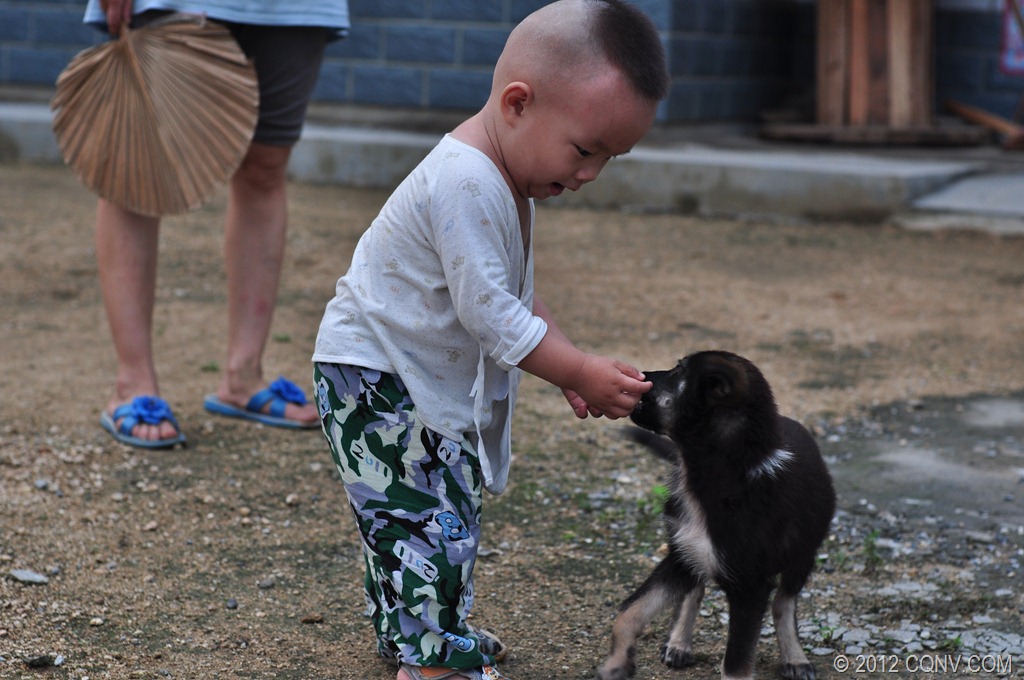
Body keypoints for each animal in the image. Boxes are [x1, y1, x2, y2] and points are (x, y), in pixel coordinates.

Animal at [598, 350, 835, 680]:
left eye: (678, 371)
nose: (639, 374)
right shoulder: (680, 558)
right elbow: (628, 612)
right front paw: (616, 663)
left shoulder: (750, 587)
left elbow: (736, 664)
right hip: (688, 552)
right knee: (693, 593)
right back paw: (678, 643)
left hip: (803, 554)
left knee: (784, 604)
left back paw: (795, 657)